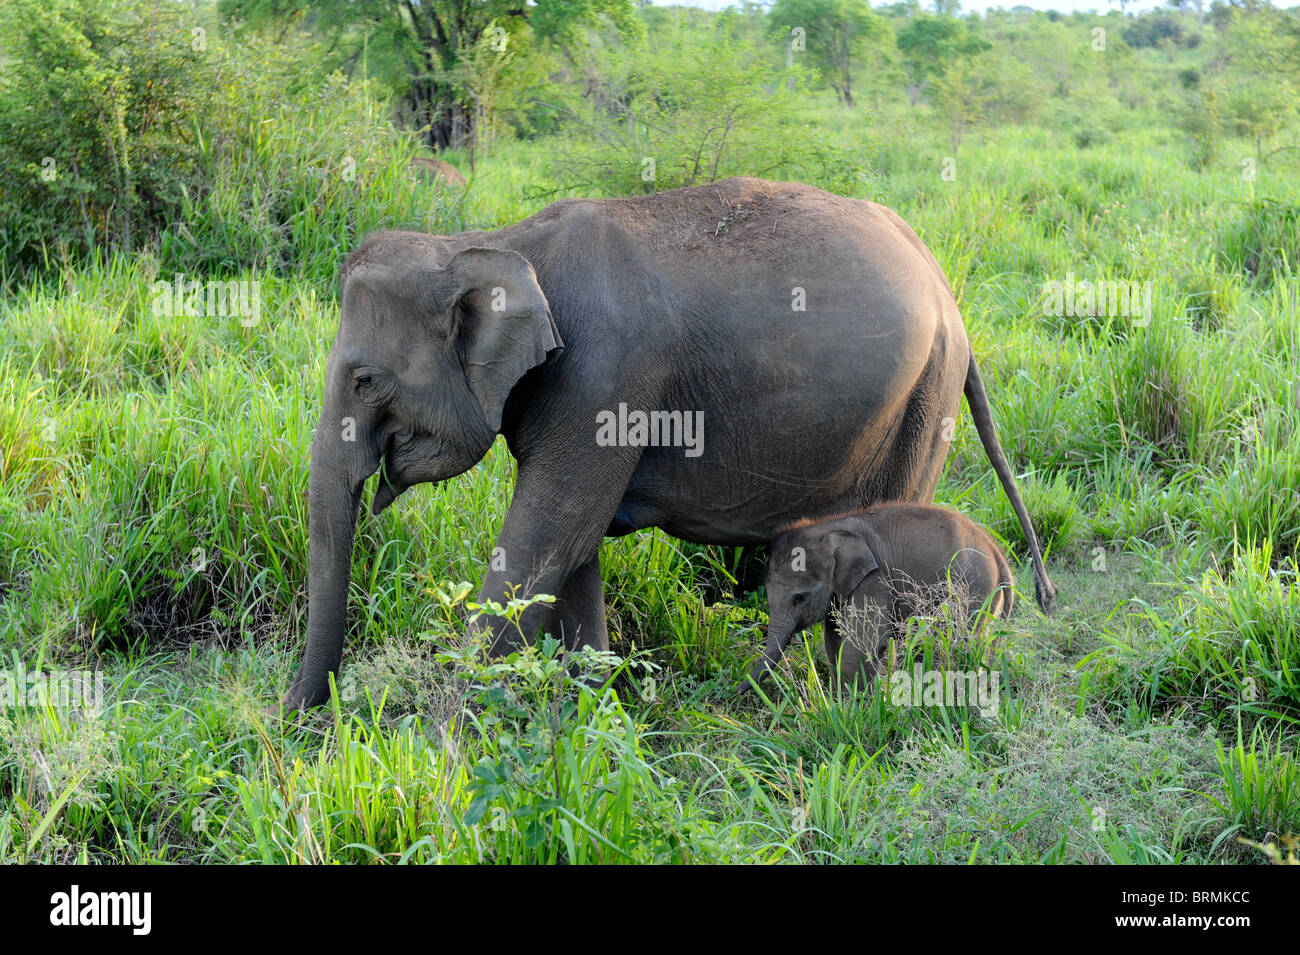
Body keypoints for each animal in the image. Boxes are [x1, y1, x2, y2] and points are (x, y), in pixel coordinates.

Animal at [747, 503, 1016, 693]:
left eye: (799, 599)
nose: (740, 688)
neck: (828, 526)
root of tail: (996, 551)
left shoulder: (873, 581)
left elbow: (861, 644)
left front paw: (853, 706)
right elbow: (834, 643)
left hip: (974, 590)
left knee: (960, 639)